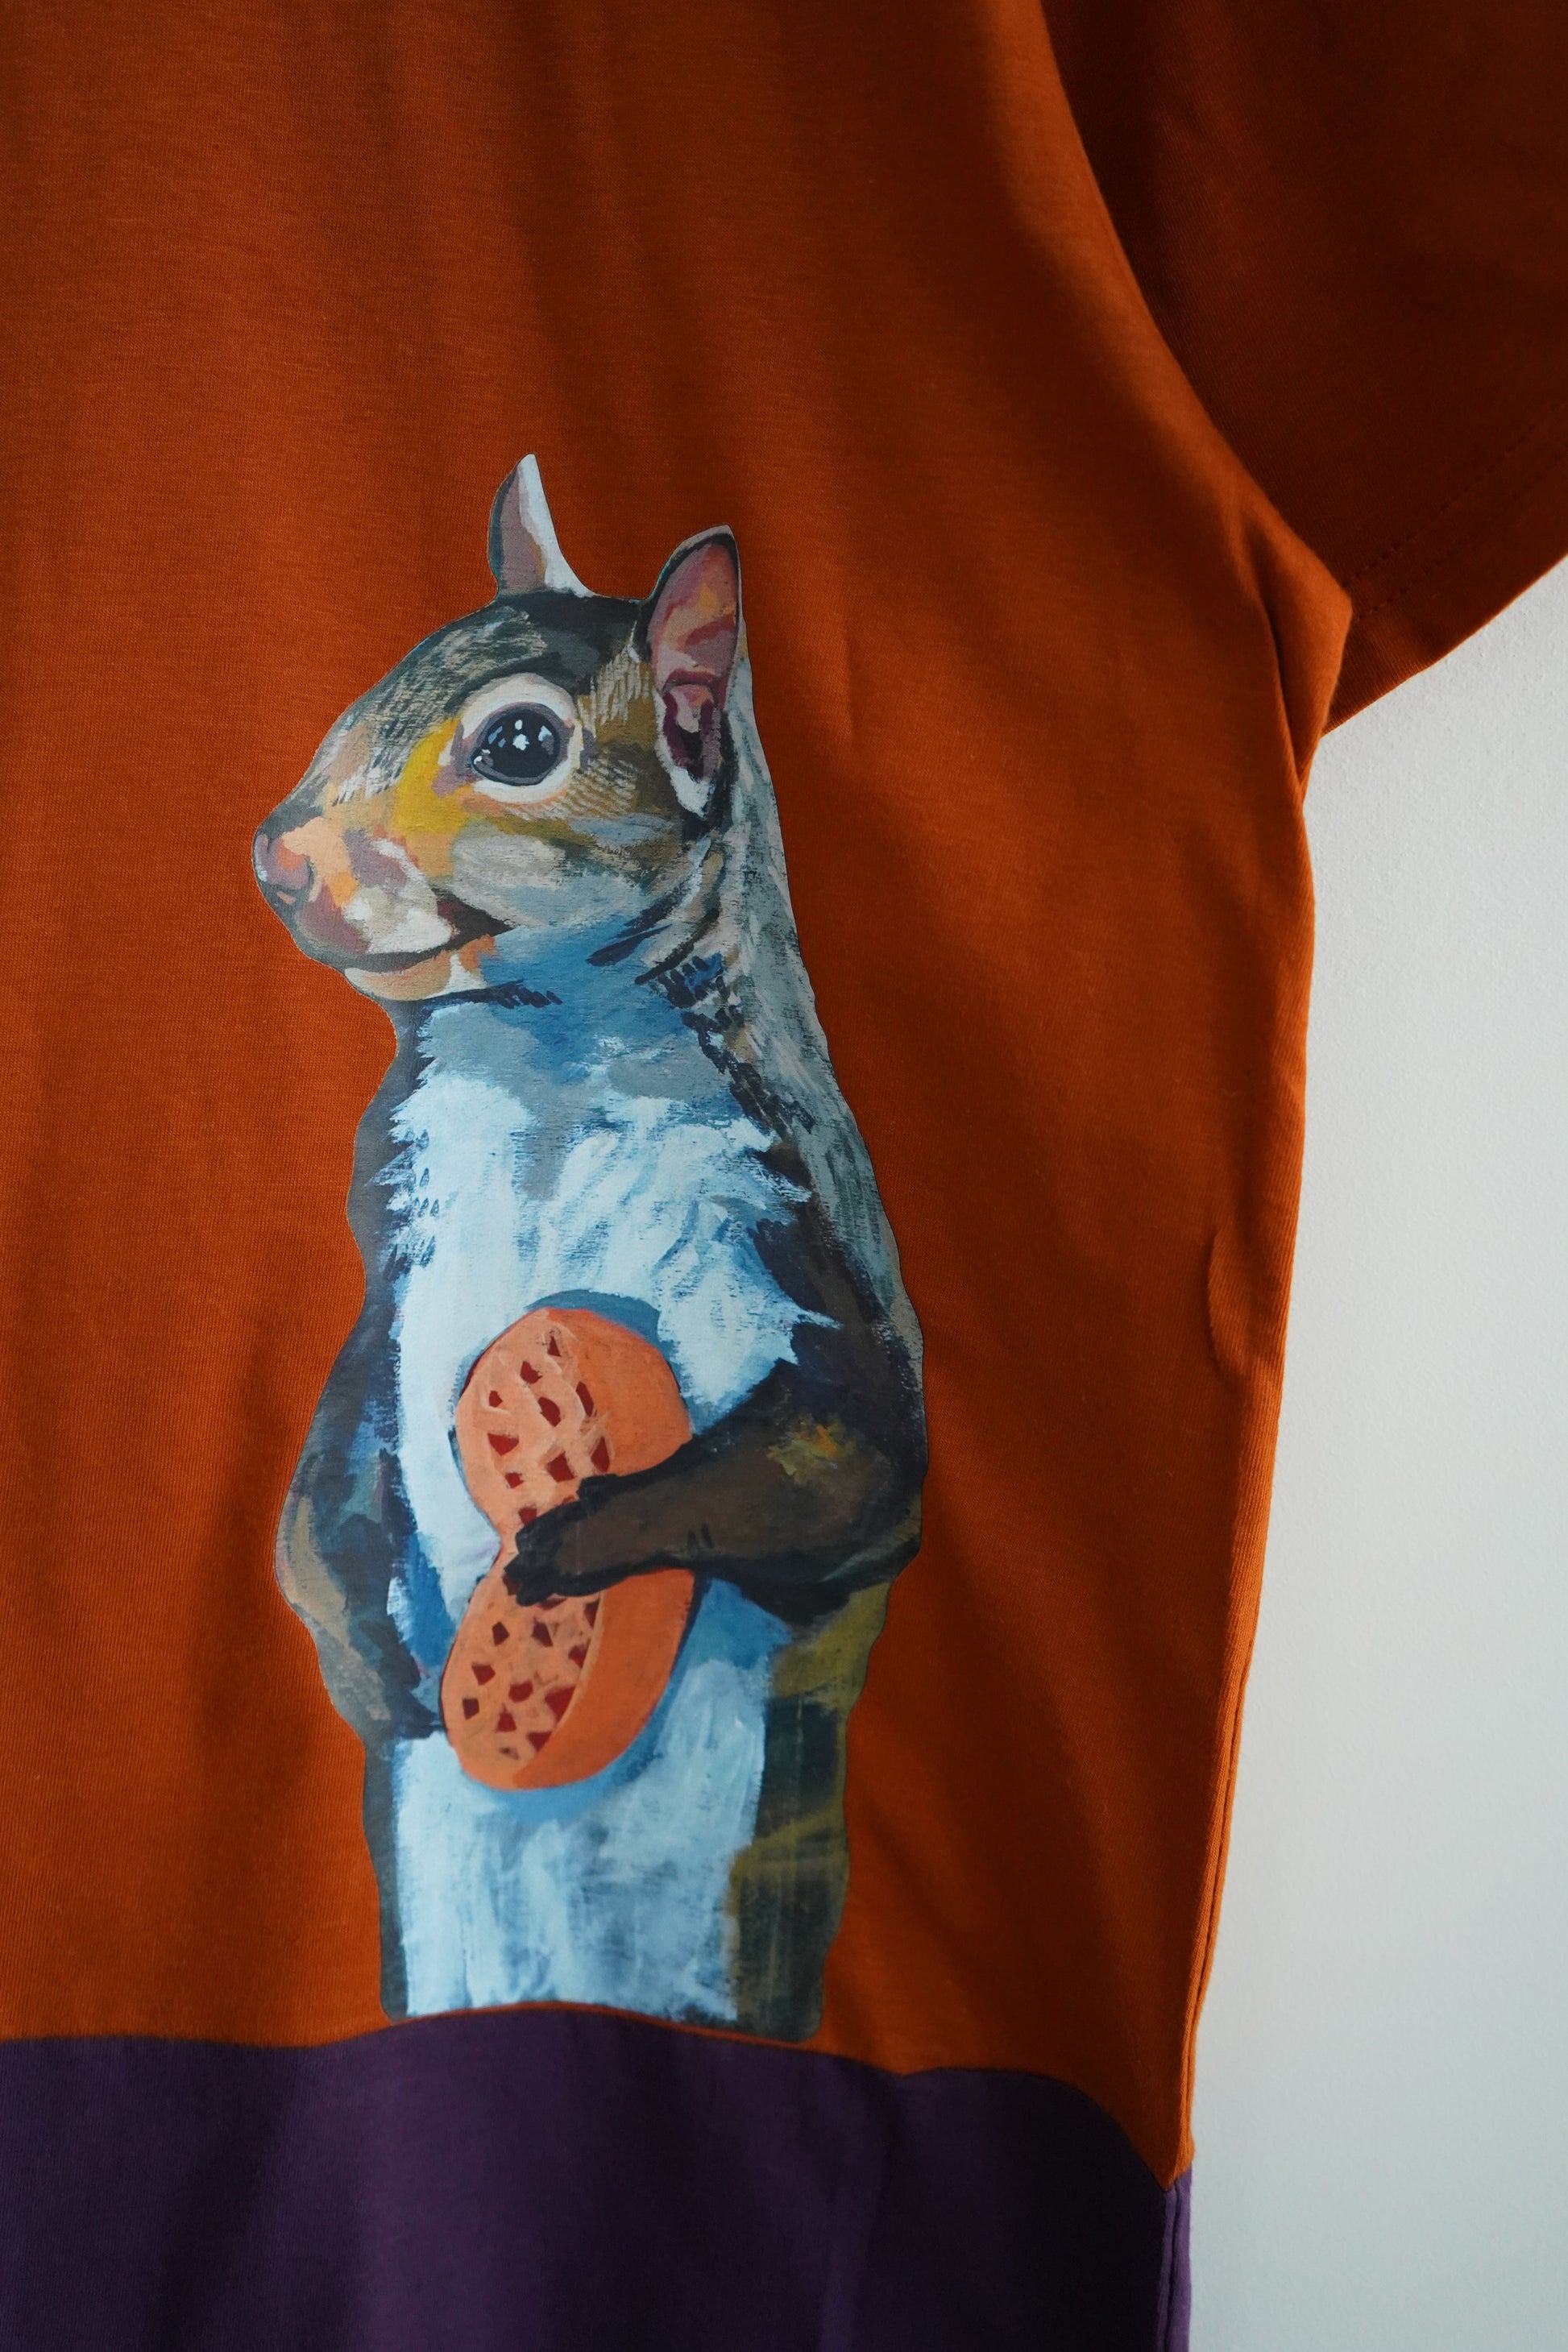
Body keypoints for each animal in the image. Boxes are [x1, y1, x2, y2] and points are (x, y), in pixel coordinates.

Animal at [253, 459, 926, 2038]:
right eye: (372, 677)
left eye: (521, 741)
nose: (276, 863)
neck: (547, 1064)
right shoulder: (395, 1259)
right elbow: (327, 1453)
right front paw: (367, 1655)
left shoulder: (806, 1253)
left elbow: (847, 1466)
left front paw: (574, 1538)